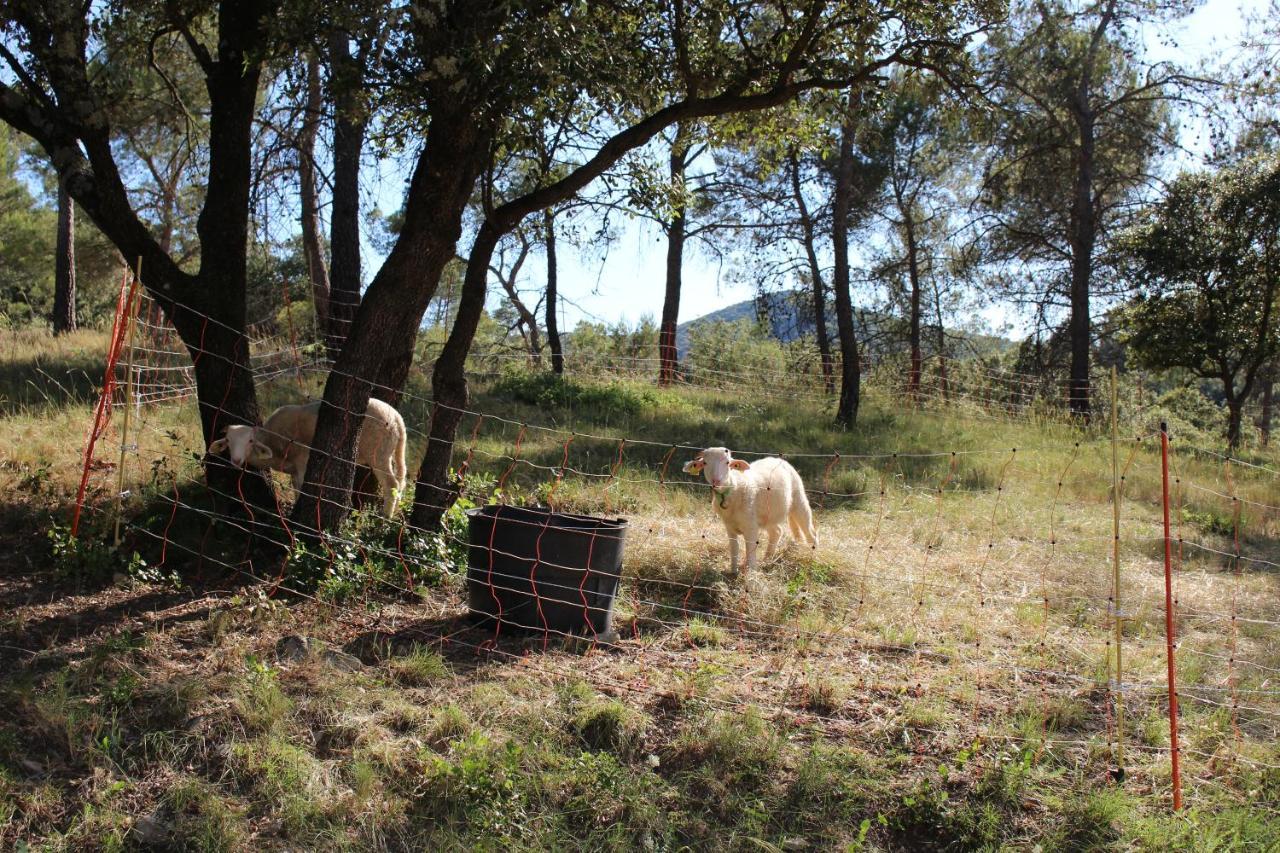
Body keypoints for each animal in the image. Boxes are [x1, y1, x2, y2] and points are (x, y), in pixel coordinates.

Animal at [207, 397, 404, 514]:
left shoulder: (303, 462)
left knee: (391, 485)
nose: (236, 460)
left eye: (250, 441)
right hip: (388, 451)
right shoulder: (293, 471)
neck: (275, 440)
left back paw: (385, 518)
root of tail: (396, 418)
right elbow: (295, 489)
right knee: (399, 484)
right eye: (228, 440)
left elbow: (301, 488)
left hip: (377, 453)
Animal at [680, 445, 819, 571]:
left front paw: (751, 573)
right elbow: (734, 549)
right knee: (777, 531)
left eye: (727, 463)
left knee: (810, 532)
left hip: (799, 499)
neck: (733, 488)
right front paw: (733, 571)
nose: (716, 481)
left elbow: (750, 550)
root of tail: (778, 459)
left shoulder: (751, 526)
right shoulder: (729, 526)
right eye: (705, 463)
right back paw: (767, 559)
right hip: (768, 515)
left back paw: (813, 554)